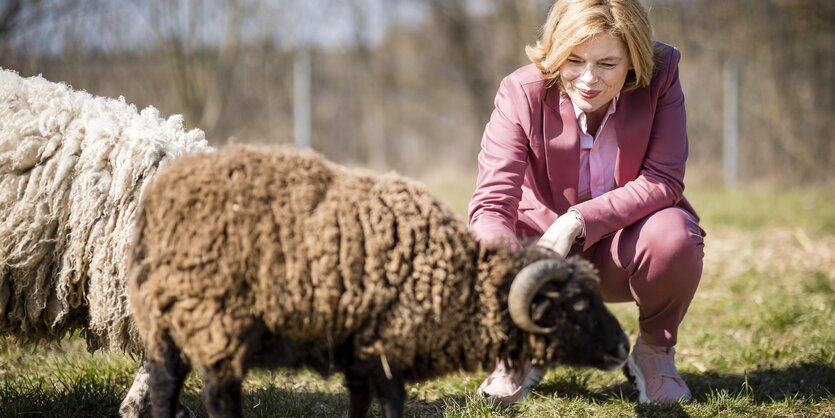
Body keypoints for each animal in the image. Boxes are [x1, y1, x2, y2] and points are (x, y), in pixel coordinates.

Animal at [131, 145, 628, 418]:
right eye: (577, 305)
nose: (622, 348)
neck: (453, 280)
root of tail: (160, 200)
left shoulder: (360, 353)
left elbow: (358, 404)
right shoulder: (389, 350)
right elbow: (390, 406)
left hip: (167, 322)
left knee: (165, 385)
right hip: (214, 321)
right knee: (218, 396)